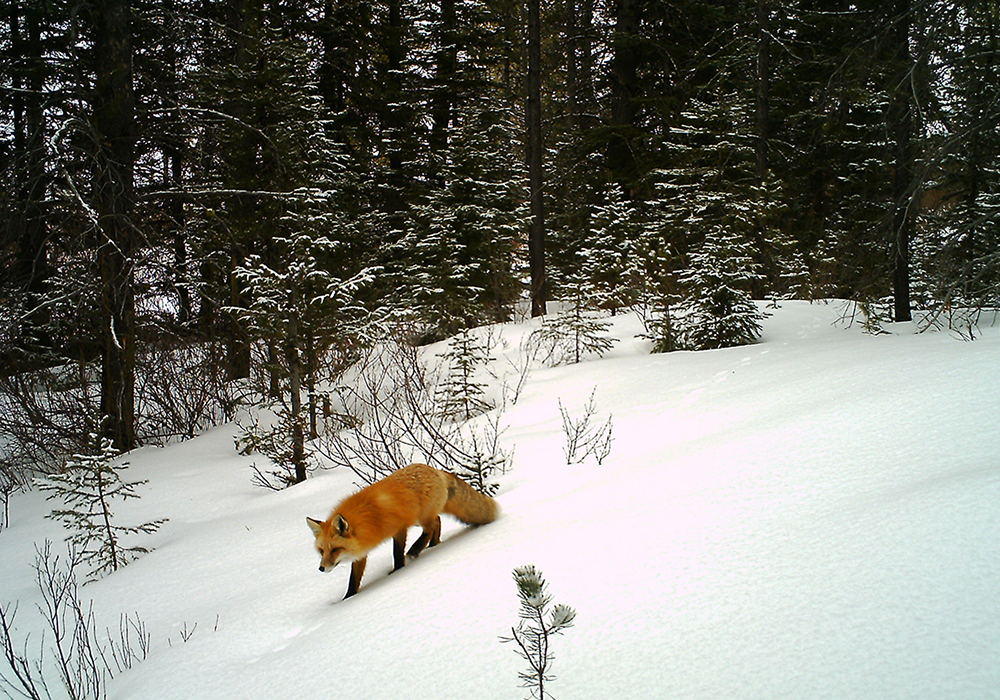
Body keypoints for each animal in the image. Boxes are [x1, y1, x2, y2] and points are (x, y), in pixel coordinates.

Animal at [306, 463, 498, 599]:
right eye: (322, 551)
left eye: (335, 549)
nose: (321, 568)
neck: (368, 520)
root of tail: (436, 469)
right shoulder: (361, 549)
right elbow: (353, 579)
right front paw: (348, 598)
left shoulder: (398, 528)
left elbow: (397, 552)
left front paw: (398, 571)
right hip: (423, 517)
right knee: (437, 521)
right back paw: (432, 545)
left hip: (421, 517)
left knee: (431, 527)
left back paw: (416, 549)